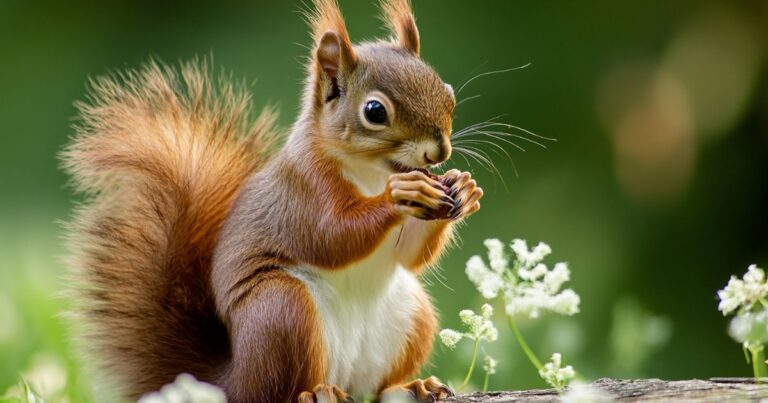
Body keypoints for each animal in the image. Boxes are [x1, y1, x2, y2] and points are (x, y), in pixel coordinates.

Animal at [62, 0, 484, 401]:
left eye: (448, 93)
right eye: (375, 111)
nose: (439, 151)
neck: (372, 172)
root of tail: (228, 380)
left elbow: (410, 255)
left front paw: (464, 188)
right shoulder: (303, 191)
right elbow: (332, 237)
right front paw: (401, 194)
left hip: (410, 315)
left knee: (374, 390)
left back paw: (411, 387)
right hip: (281, 311)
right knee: (276, 390)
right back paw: (316, 393)